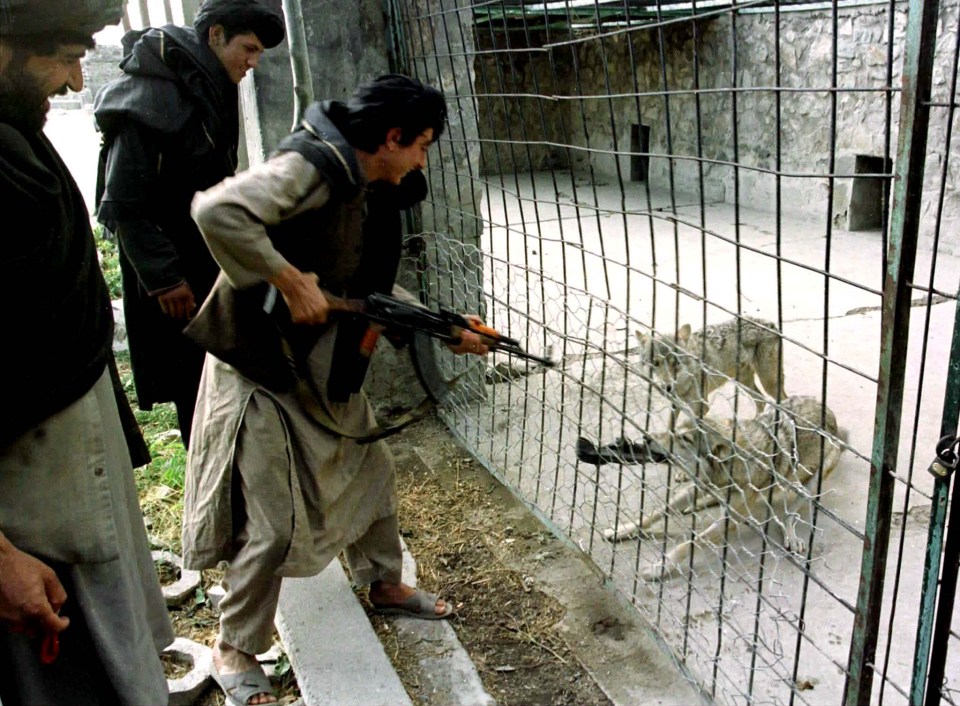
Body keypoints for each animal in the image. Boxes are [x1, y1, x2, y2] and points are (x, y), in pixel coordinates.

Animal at [576, 394, 840, 580]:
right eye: (674, 430)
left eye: (685, 439)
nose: (646, 438)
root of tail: (828, 410)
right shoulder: (697, 487)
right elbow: (655, 513)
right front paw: (622, 529)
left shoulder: (729, 519)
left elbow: (689, 543)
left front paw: (659, 567)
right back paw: (696, 506)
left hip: (809, 482)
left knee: (790, 512)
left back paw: (791, 534)